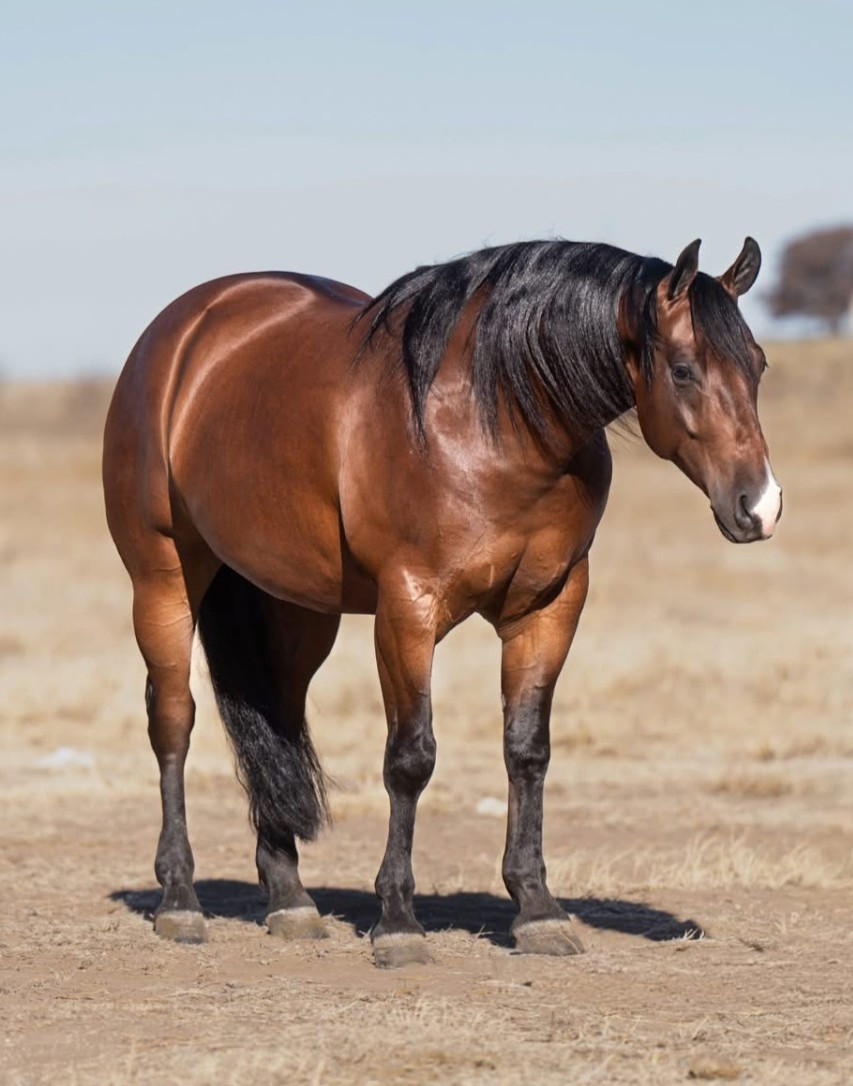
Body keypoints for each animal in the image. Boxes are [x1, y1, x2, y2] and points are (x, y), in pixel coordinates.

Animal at [102, 236, 781, 966]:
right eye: (683, 370)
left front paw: (536, 909)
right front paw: (398, 921)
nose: (761, 506)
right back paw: (179, 899)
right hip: (163, 579)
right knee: (173, 721)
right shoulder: (408, 607)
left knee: (274, 719)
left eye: (758, 364)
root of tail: (183, 332)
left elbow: (527, 750)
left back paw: (289, 899)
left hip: (295, 608)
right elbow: (411, 758)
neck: (494, 421)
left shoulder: (550, 606)